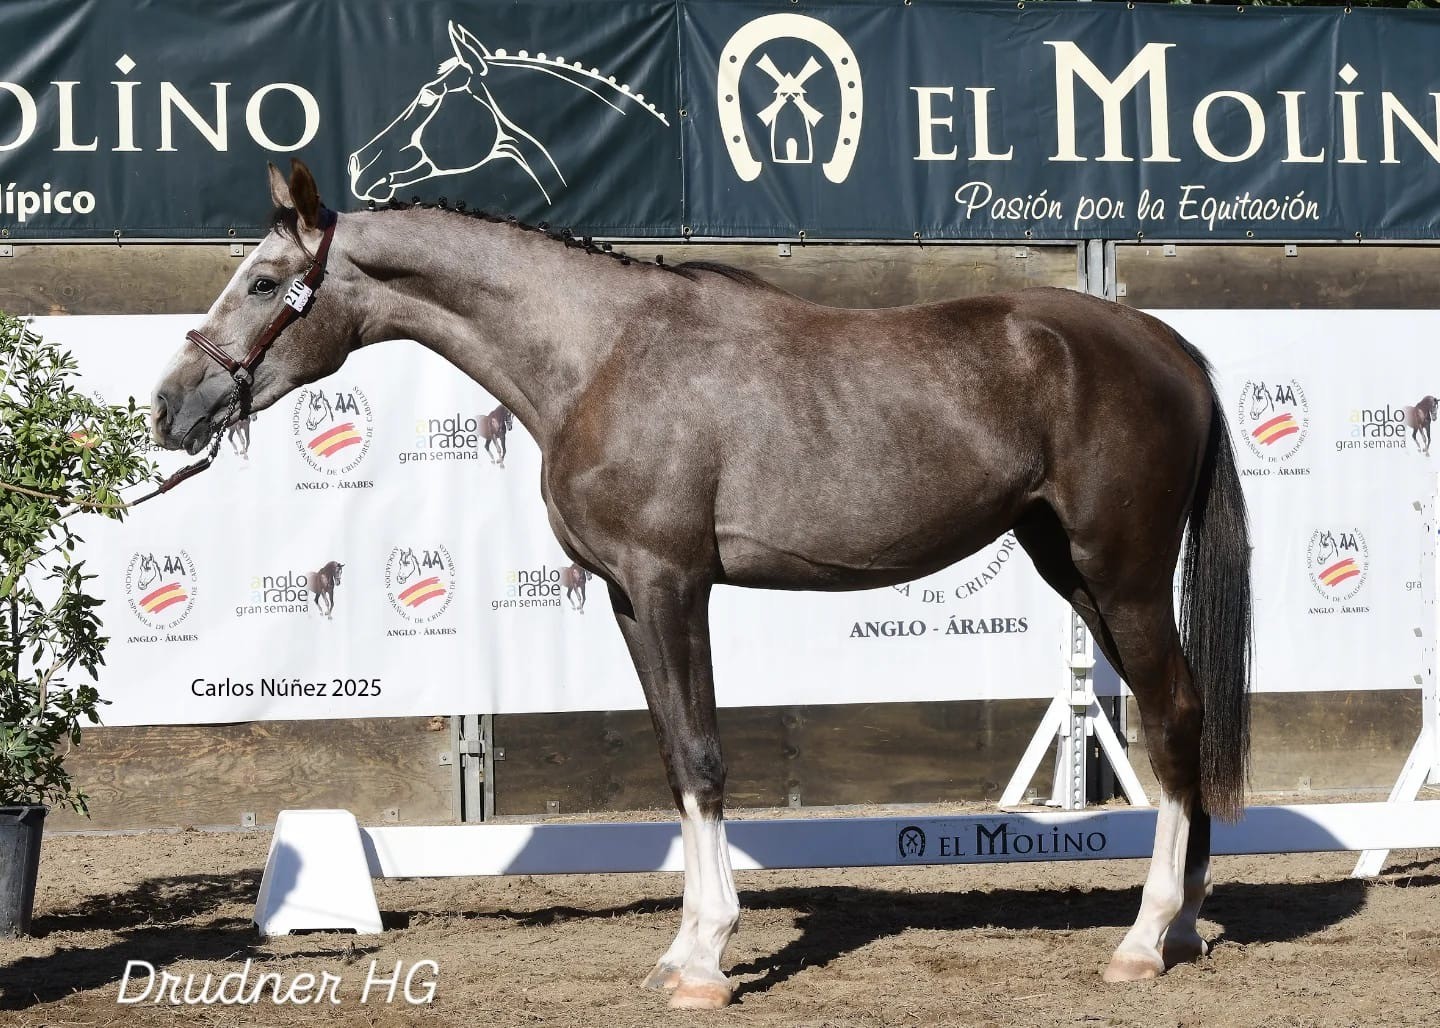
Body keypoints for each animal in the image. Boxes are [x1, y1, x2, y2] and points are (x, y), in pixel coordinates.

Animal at [151, 160, 1251, 1009]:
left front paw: (708, 961)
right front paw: (683, 948)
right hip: (1076, 571)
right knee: (1186, 714)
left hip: (1122, 573)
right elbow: (677, 760)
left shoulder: (675, 583)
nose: (170, 406)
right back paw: (1187, 926)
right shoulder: (631, 597)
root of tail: (1169, 345)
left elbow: (707, 756)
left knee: (1170, 715)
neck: (600, 355)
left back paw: (1144, 939)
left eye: (264, 282)